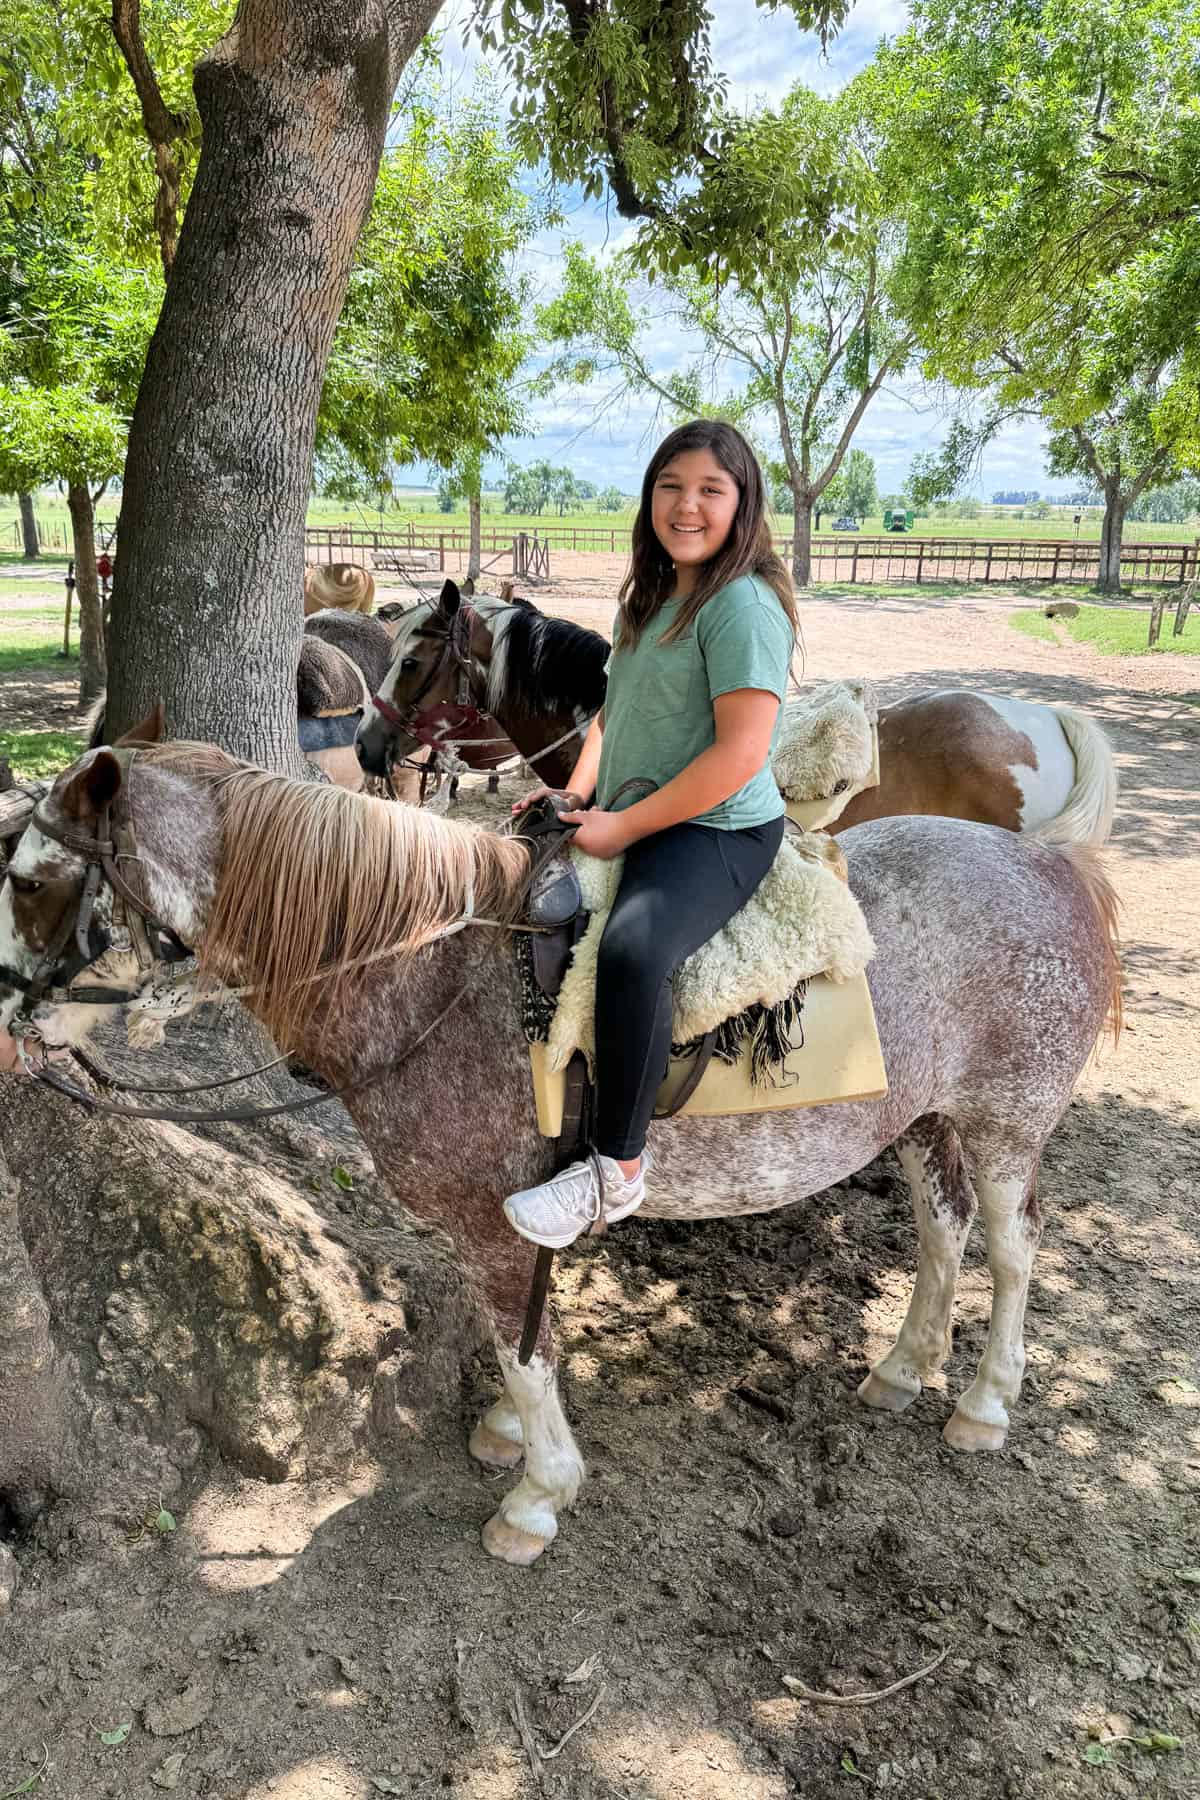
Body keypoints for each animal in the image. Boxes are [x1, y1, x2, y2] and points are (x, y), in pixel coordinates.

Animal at [0, 728, 1121, 1564]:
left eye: (26, 880)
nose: (11, 1017)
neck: (429, 976)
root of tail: (1044, 859)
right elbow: (526, 1338)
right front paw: (508, 1438)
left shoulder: (491, 1220)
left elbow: (522, 1346)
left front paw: (538, 1494)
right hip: (924, 1119)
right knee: (943, 1233)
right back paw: (903, 1366)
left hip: (1007, 1123)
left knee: (1013, 1251)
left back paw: (984, 1401)